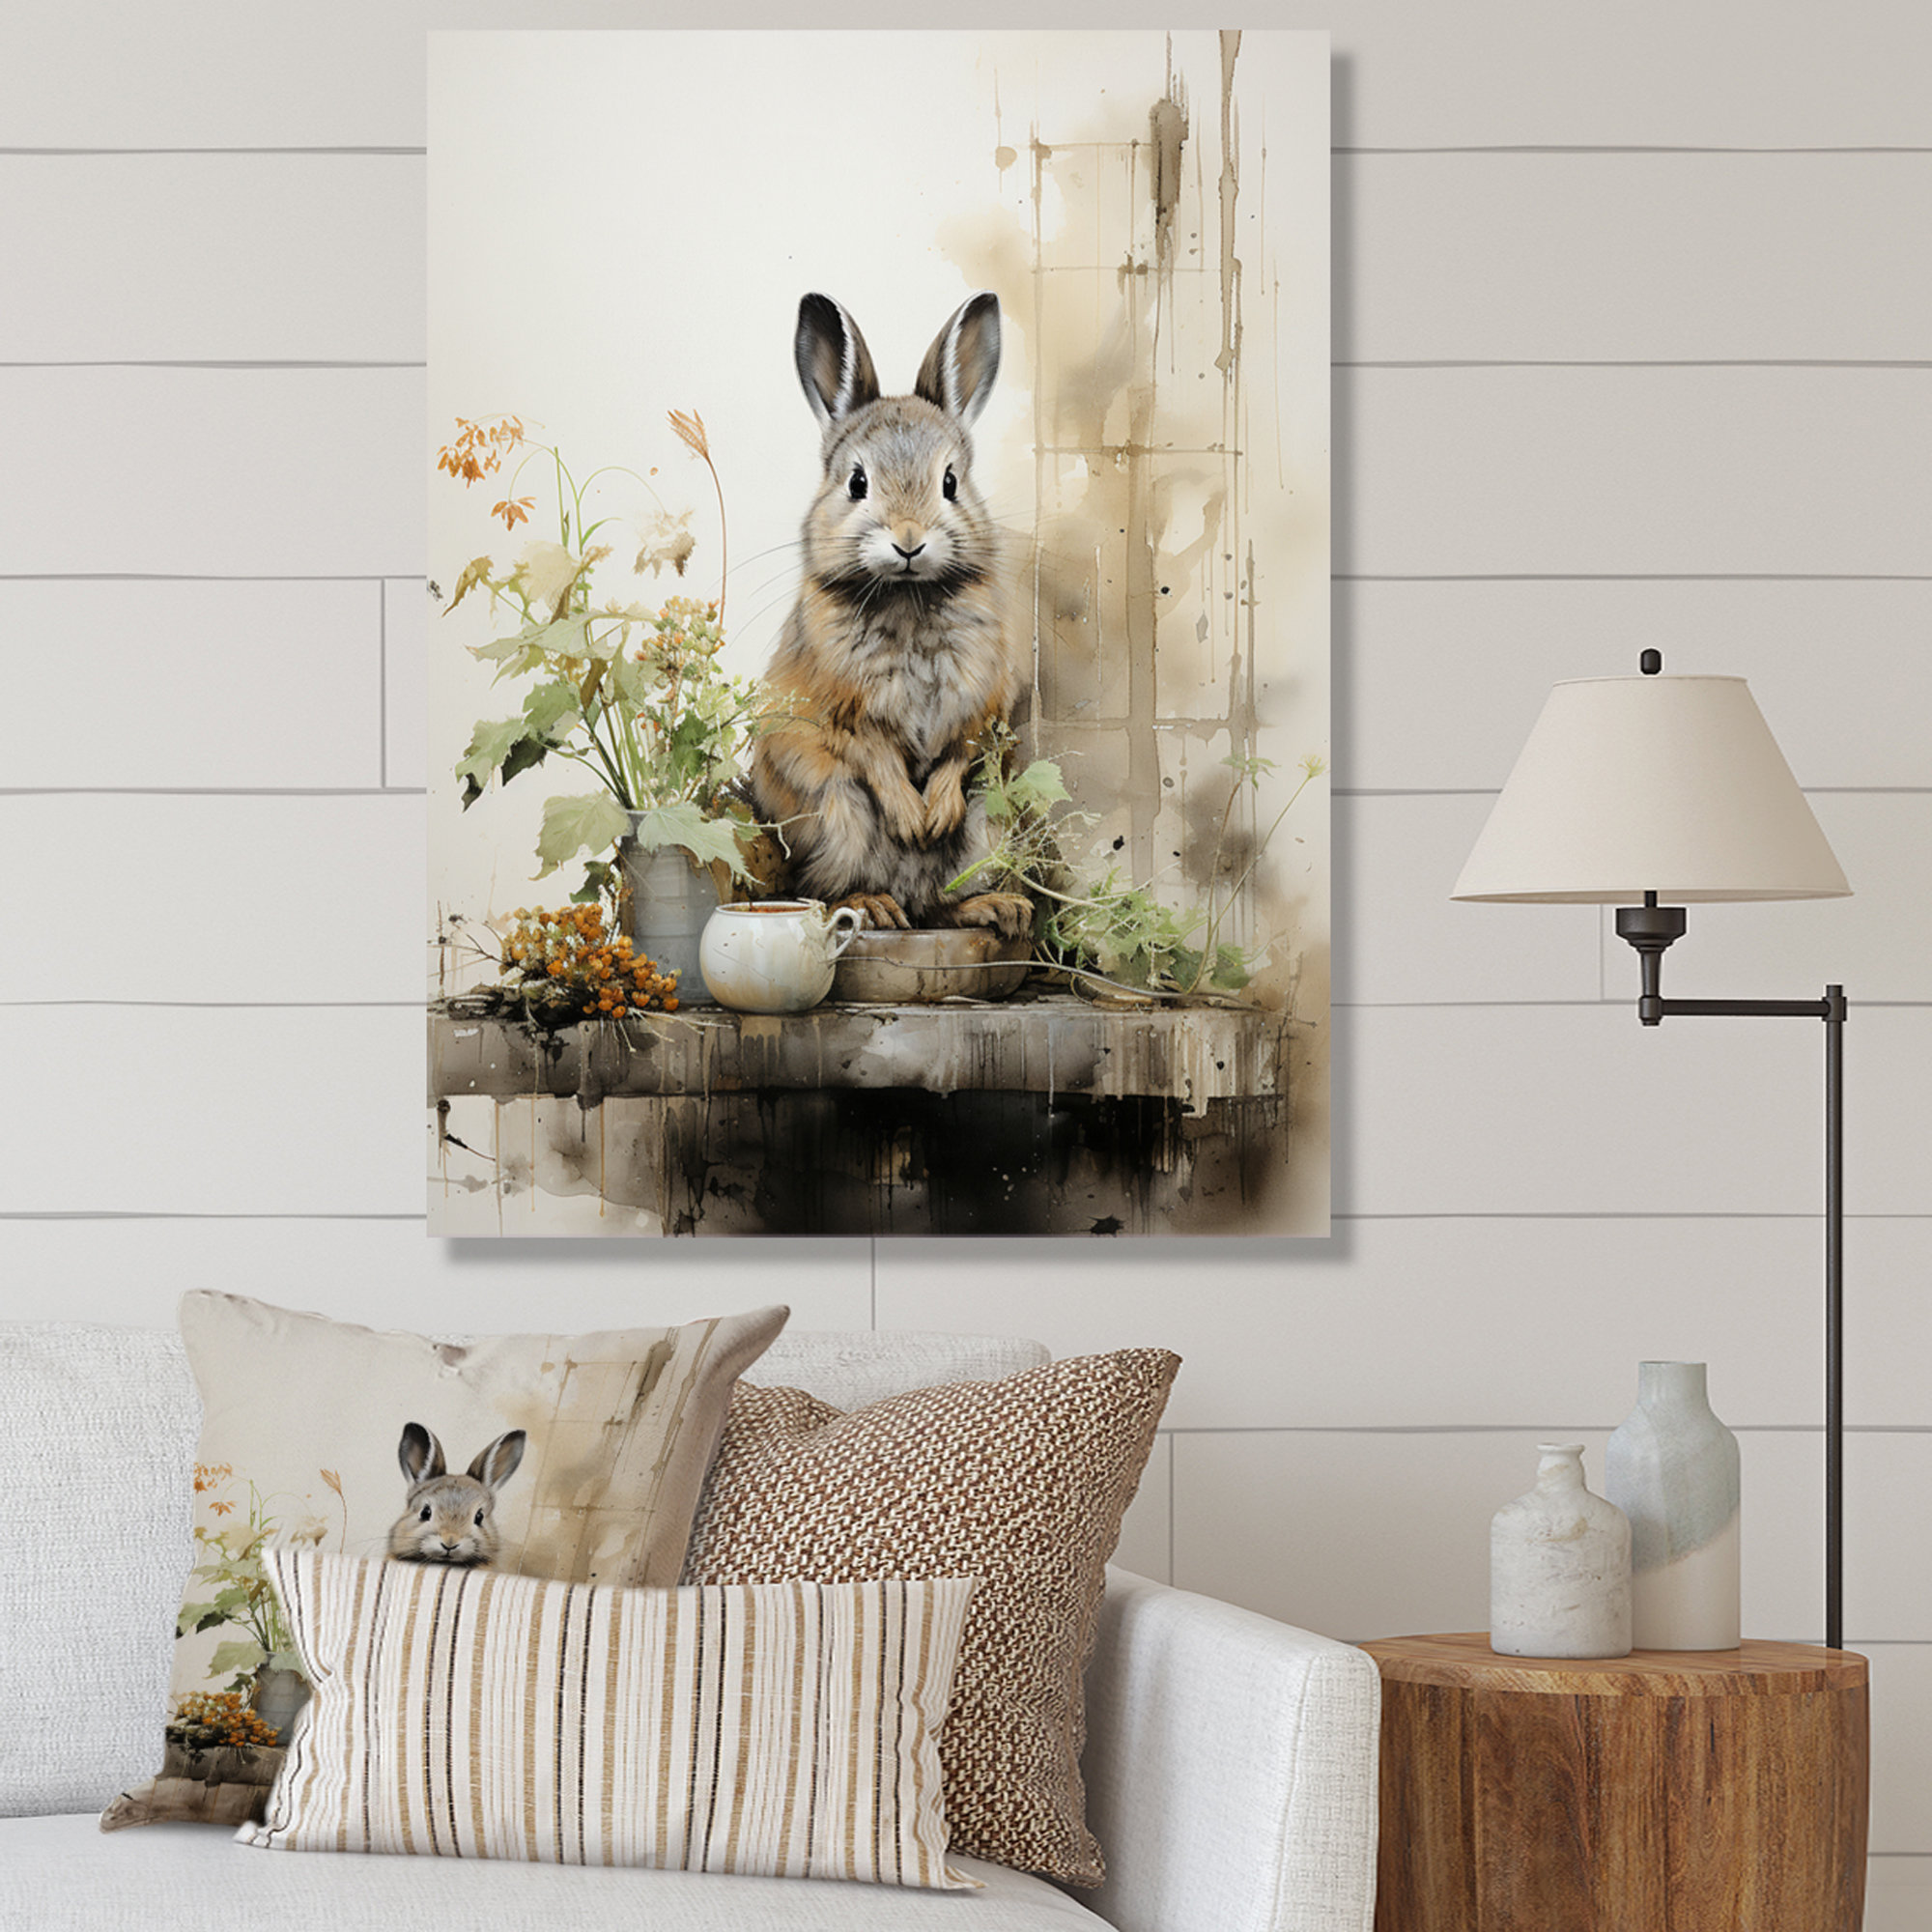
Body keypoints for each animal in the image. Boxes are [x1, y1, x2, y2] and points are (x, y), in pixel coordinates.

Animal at [745, 291, 1033, 939]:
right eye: (857, 482)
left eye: (950, 482)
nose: (908, 541)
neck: (907, 597)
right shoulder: (842, 714)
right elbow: (875, 756)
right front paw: (910, 817)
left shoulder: (983, 706)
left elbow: (959, 752)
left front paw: (934, 814)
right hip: (836, 815)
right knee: (829, 891)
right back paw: (876, 907)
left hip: (988, 825)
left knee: (940, 904)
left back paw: (998, 908)